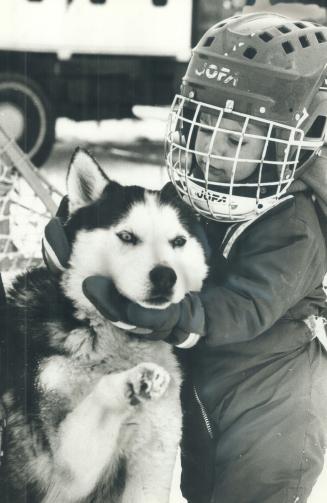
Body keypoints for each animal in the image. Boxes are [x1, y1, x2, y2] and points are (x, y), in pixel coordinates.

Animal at [0, 150, 209, 503]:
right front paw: (134, 379)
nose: (165, 276)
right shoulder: (63, 472)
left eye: (178, 241)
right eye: (126, 236)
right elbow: (103, 390)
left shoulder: (152, 462)